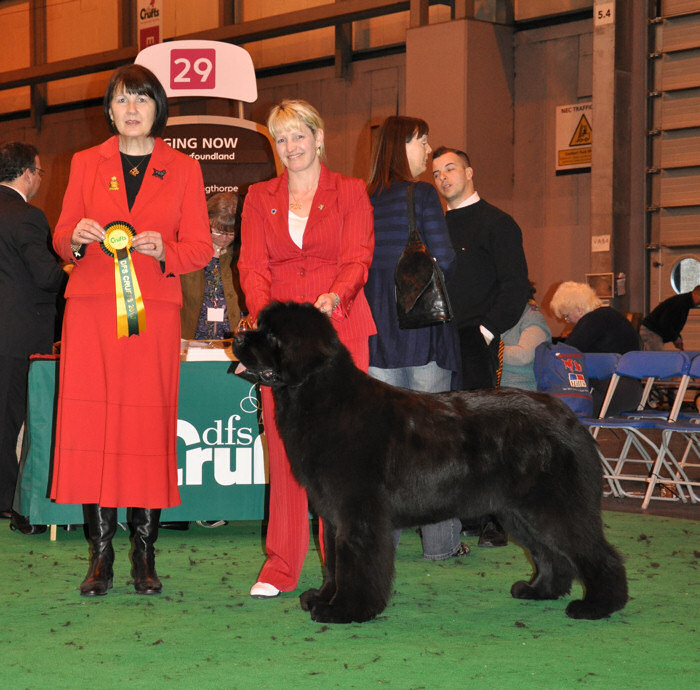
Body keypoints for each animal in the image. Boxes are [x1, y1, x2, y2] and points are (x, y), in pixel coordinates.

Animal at [231, 300, 628, 624]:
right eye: (259, 326)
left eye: (271, 334)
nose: (235, 337)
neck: (321, 397)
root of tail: (569, 417)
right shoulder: (331, 513)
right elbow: (334, 563)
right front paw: (322, 599)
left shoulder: (358, 512)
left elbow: (354, 563)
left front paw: (345, 610)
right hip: (519, 511)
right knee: (551, 554)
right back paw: (539, 590)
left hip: (552, 504)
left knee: (593, 551)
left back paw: (598, 606)